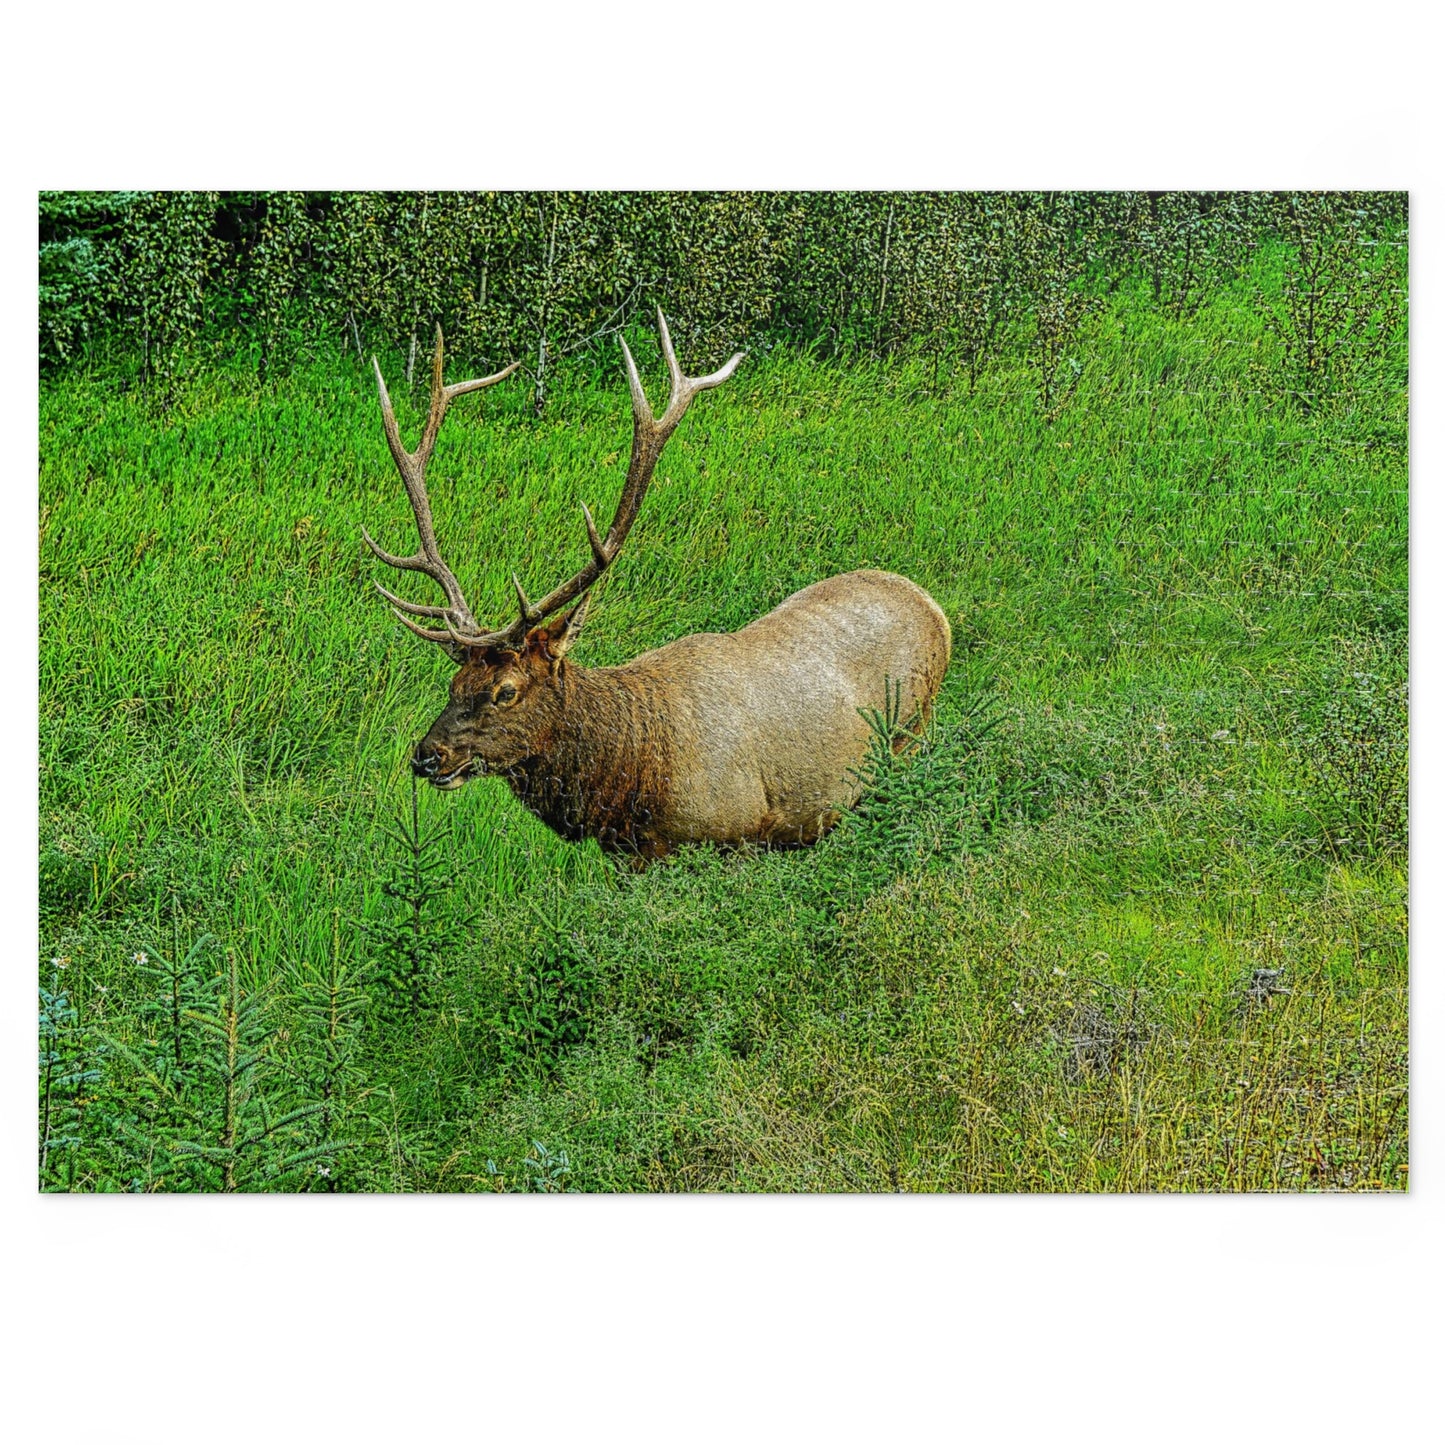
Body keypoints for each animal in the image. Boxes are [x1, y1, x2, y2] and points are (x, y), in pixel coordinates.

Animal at [363, 310, 952, 865]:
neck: (629, 784)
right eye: (454, 683)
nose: (426, 755)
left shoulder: (735, 837)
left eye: (506, 691)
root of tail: (933, 607)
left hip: (910, 733)